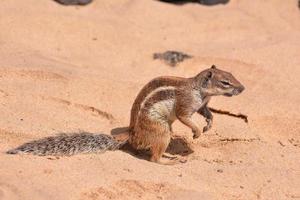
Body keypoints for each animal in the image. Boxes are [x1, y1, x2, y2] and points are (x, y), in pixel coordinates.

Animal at [7, 65, 244, 164]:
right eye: (225, 82)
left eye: (233, 74)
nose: (242, 88)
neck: (201, 91)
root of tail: (133, 134)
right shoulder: (185, 104)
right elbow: (185, 117)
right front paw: (196, 132)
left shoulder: (203, 104)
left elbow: (207, 113)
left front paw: (209, 124)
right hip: (162, 131)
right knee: (154, 159)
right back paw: (170, 161)